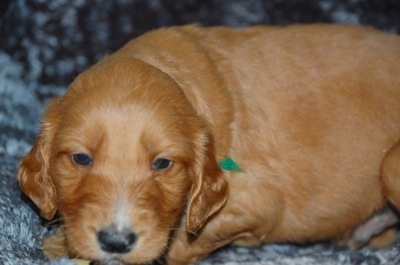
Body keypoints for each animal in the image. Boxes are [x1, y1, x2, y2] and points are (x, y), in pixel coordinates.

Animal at [19, 23, 400, 262]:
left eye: (163, 163)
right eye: (80, 159)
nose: (116, 242)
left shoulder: (257, 204)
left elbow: (183, 244)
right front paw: (63, 244)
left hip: (391, 165)